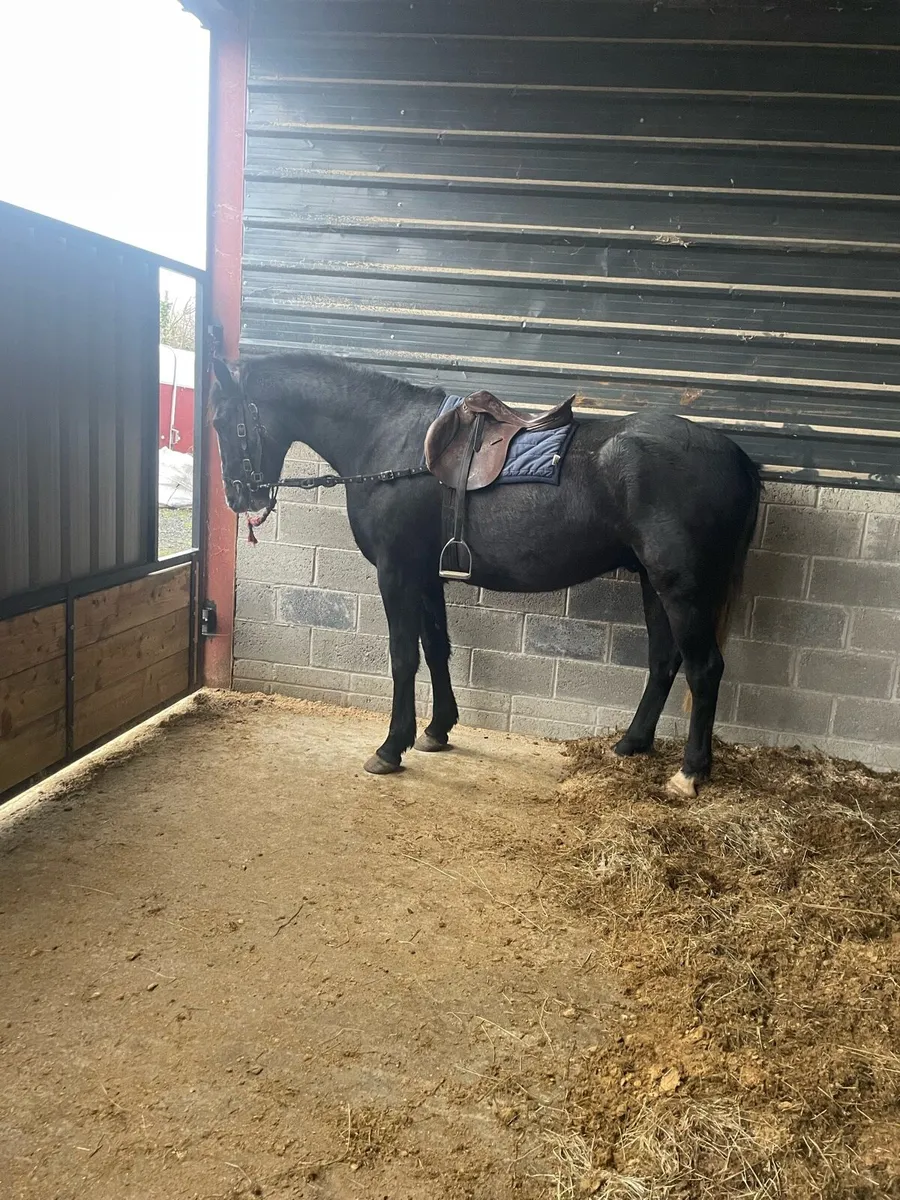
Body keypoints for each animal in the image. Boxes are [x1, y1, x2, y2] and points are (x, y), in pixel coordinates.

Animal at [210, 352, 761, 797]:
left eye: (221, 419)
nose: (238, 497)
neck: (391, 444)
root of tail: (739, 458)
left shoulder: (396, 571)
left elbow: (403, 656)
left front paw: (391, 747)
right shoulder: (426, 574)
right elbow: (436, 647)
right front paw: (437, 730)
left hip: (681, 587)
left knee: (704, 668)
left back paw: (689, 773)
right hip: (652, 581)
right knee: (664, 661)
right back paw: (631, 743)